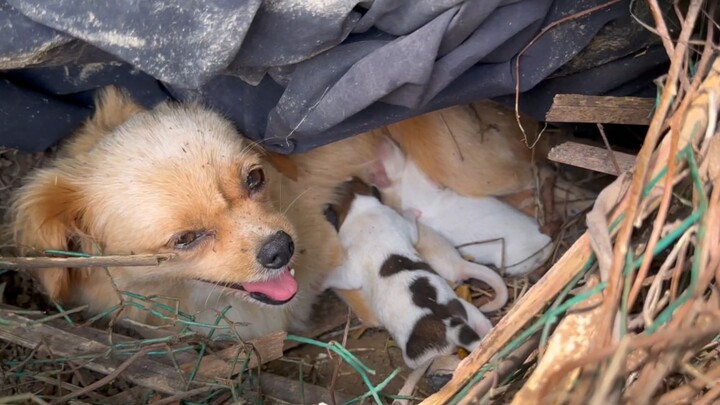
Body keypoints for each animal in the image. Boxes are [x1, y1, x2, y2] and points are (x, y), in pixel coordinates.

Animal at [326, 178, 496, 368]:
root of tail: (449, 323)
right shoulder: (401, 224)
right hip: (468, 310)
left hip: (419, 355)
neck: (362, 208)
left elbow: (342, 278)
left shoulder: (351, 266)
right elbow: (412, 230)